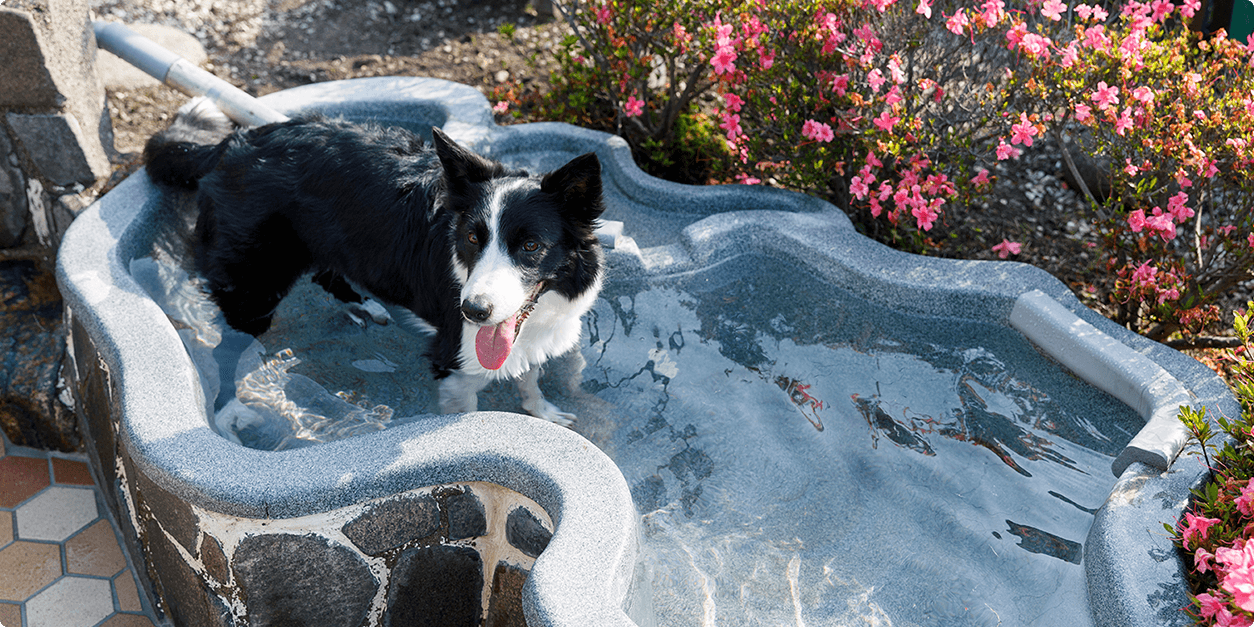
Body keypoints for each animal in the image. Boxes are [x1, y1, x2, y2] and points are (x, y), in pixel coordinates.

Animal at [144, 99, 604, 426]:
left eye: (531, 246)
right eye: (472, 238)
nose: (473, 311)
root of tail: (230, 146)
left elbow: (530, 378)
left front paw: (543, 413)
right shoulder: (452, 362)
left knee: (328, 272)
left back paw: (363, 304)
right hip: (253, 290)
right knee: (226, 347)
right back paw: (228, 411)